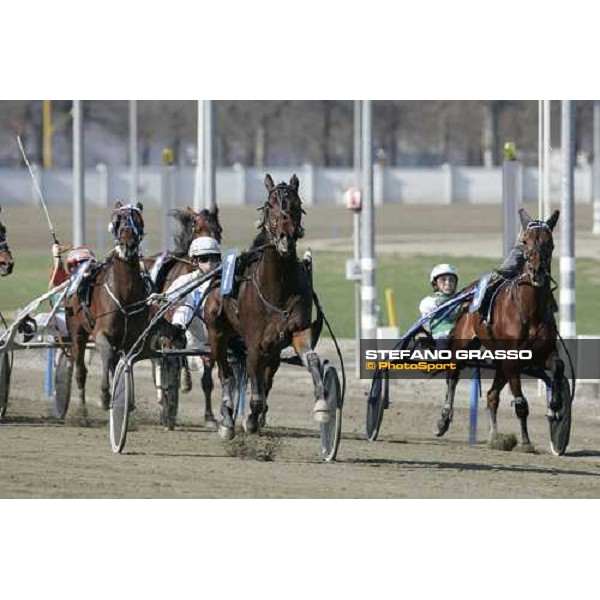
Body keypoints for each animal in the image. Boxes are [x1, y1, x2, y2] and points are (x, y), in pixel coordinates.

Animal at [66, 202, 149, 412]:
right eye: (117, 221)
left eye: (138, 221)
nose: (128, 245)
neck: (125, 293)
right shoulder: (101, 332)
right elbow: (105, 351)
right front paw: (104, 395)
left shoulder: (131, 339)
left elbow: (125, 363)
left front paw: (128, 400)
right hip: (77, 331)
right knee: (81, 369)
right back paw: (82, 409)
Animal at [144, 205, 224, 426]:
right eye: (198, 228)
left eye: (219, 230)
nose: (214, 258)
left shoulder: (207, 337)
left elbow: (207, 377)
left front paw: (210, 417)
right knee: (159, 363)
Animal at [205, 173, 328, 440]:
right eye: (270, 205)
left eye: (296, 204)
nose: (286, 234)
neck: (277, 287)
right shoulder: (254, 343)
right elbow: (255, 389)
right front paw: (249, 420)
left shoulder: (297, 331)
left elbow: (312, 361)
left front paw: (322, 406)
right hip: (217, 332)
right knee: (225, 373)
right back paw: (227, 419)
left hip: (273, 349)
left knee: (267, 375)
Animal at [436, 209, 568, 452]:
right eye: (525, 240)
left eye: (550, 243)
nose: (536, 272)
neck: (529, 311)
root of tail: (469, 291)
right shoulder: (512, 360)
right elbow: (521, 403)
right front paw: (525, 442)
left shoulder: (543, 352)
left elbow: (559, 366)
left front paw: (555, 406)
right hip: (464, 344)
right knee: (453, 377)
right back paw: (444, 419)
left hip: (499, 361)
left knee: (491, 396)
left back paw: (495, 437)